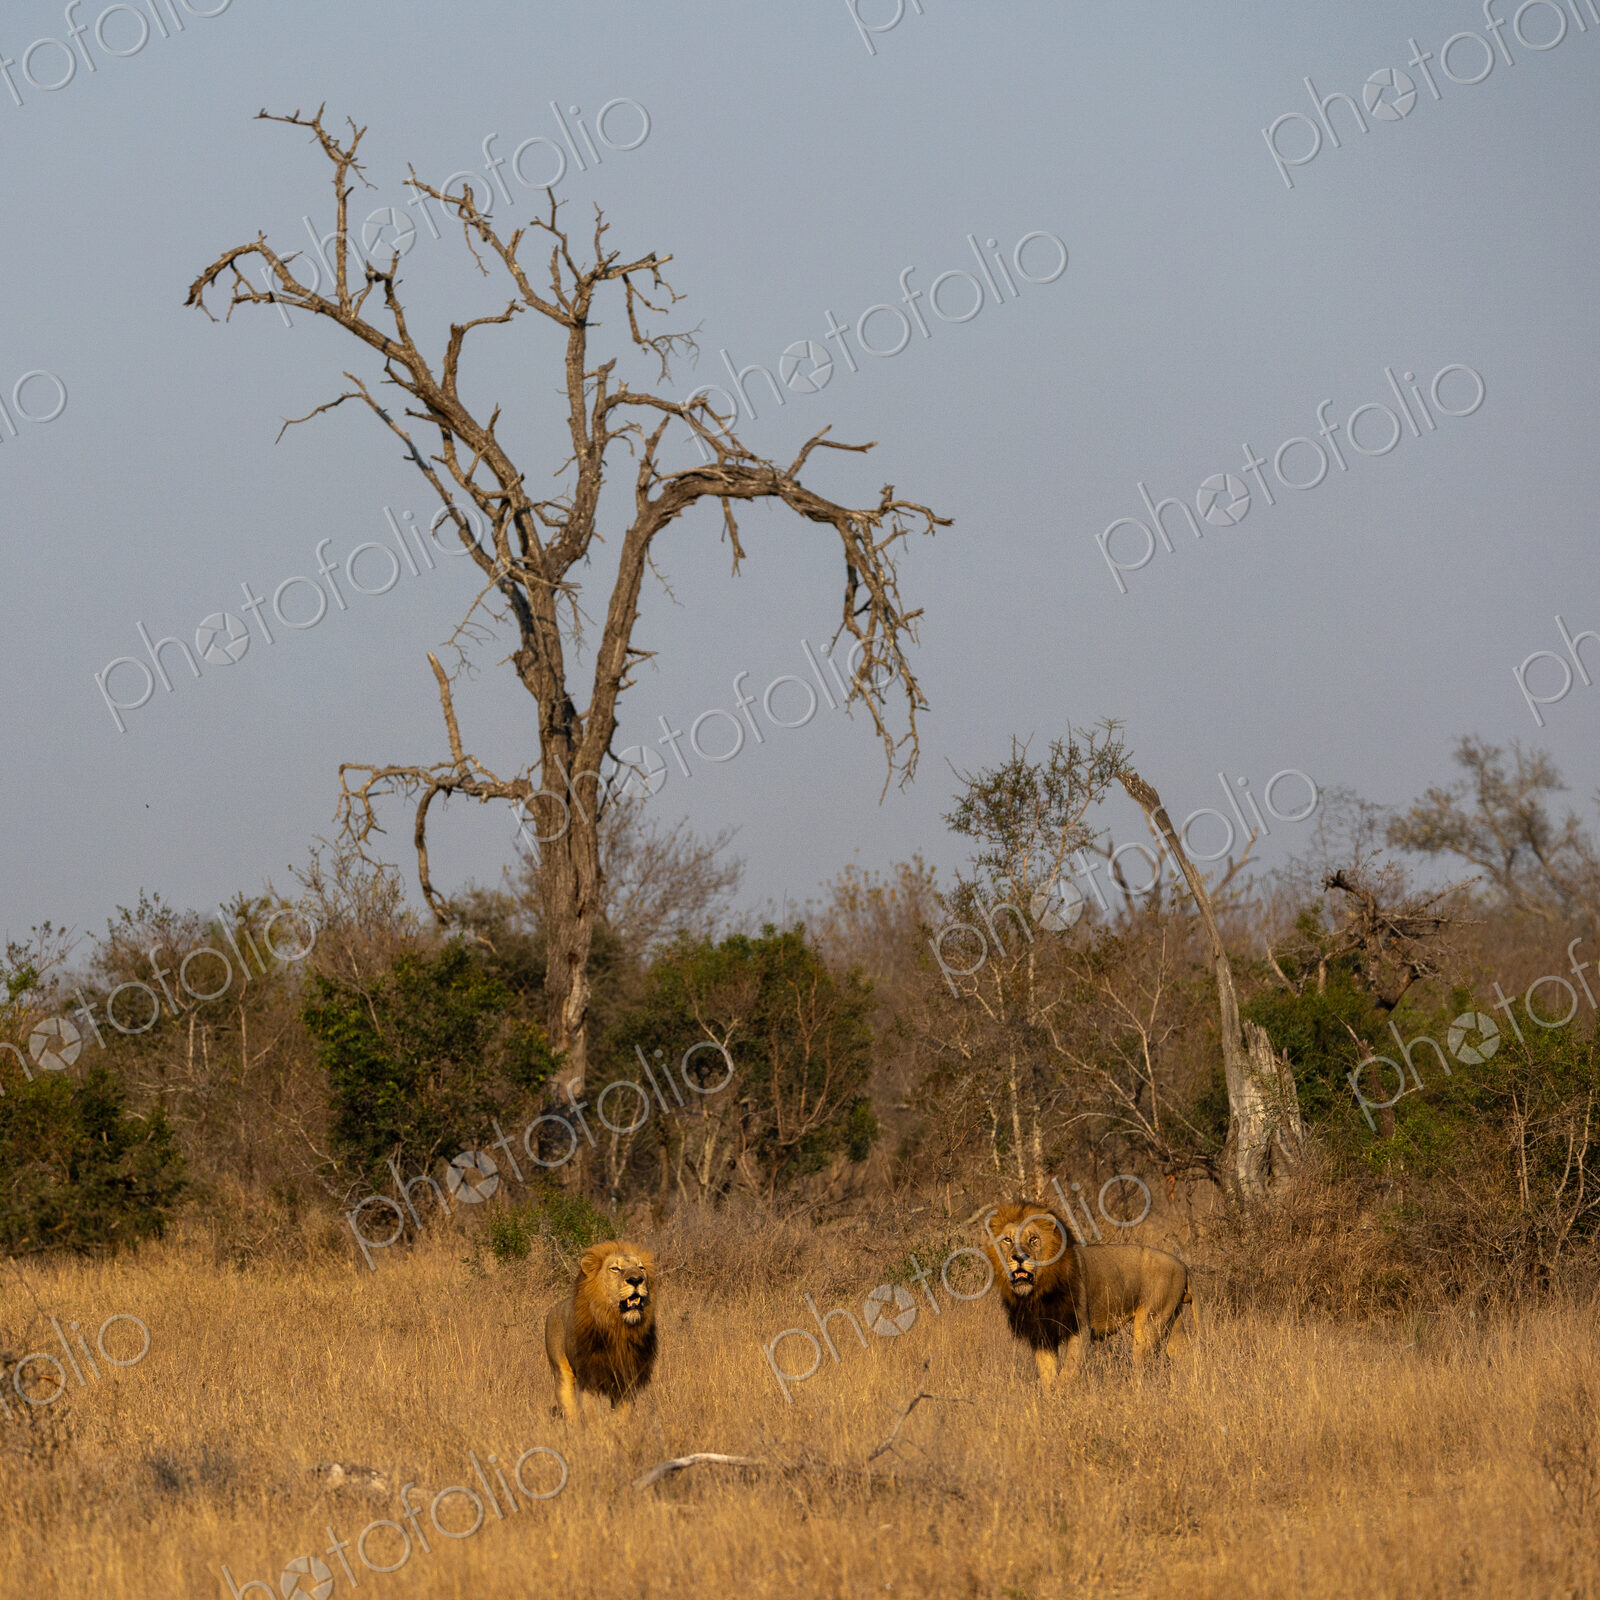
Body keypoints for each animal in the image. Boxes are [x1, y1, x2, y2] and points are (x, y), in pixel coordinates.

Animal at [543, 1241, 657, 1422]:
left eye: (641, 1268)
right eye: (615, 1268)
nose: (636, 1279)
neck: (618, 1327)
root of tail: (554, 1308)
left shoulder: (626, 1377)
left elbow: (622, 1414)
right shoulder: (589, 1376)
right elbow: (592, 1413)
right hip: (561, 1372)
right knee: (569, 1405)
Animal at [984, 1202, 1191, 1387]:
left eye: (1033, 1239)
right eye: (1007, 1240)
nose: (1019, 1257)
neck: (1038, 1293)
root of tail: (1182, 1264)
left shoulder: (1080, 1329)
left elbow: (1068, 1373)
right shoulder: (1043, 1333)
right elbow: (1047, 1375)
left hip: (1149, 1323)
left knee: (1141, 1366)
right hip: (1172, 1321)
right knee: (1182, 1355)